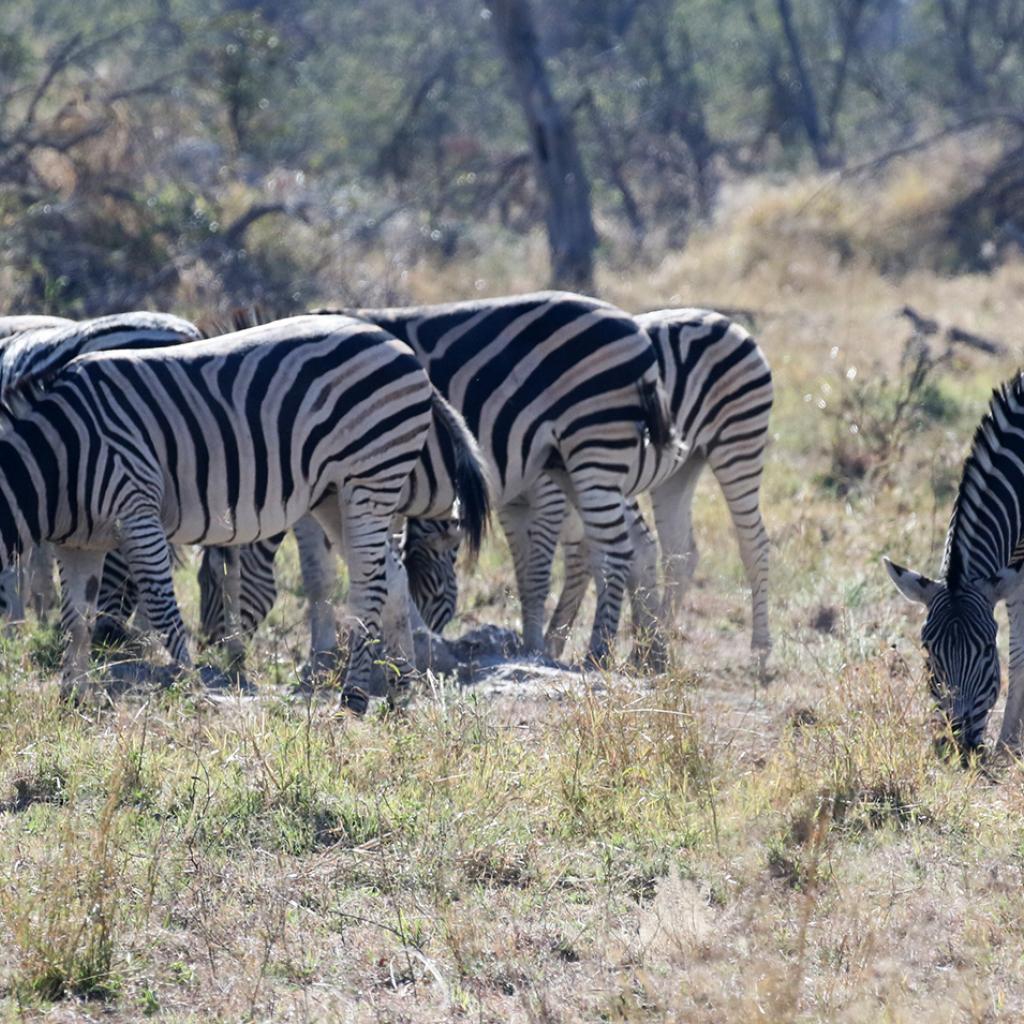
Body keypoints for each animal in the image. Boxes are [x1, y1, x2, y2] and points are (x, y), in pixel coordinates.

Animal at [0, 315, 489, 708]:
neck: (60, 457)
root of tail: (401, 349)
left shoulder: (137, 511)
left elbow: (163, 609)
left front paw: (194, 694)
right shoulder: (77, 544)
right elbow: (76, 620)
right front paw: (72, 697)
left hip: (371, 476)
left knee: (370, 582)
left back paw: (353, 696)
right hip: (335, 494)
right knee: (392, 576)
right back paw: (400, 688)